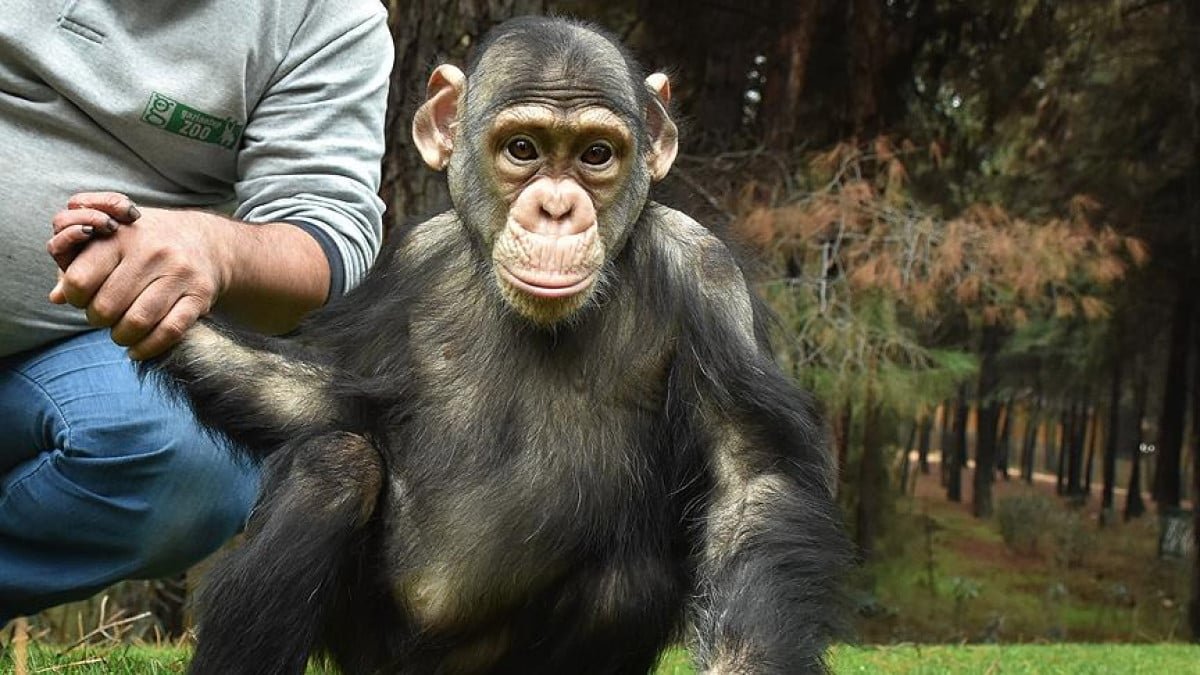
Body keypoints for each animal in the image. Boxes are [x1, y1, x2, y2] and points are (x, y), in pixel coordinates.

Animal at [147, 14, 854, 672]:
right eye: (522, 148)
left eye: (597, 155)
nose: (557, 208)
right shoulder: (410, 259)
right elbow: (330, 401)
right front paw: (152, 289)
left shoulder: (708, 276)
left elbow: (752, 480)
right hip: (371, 651)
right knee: (333, 467)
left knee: (629, 582)